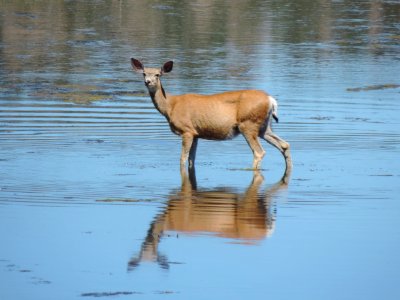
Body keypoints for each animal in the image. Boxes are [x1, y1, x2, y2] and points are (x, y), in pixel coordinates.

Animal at [131, 58, 290, 171]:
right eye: (144, 73)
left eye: (157, 74)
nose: (148, 82)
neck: (170, 106)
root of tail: (270, 100)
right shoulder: (195, 133)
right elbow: (191, 160)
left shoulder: (186, 130)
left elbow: (182, 159)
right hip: (264, 126)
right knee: (284, 144)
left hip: (248, 124)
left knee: (259, 152)